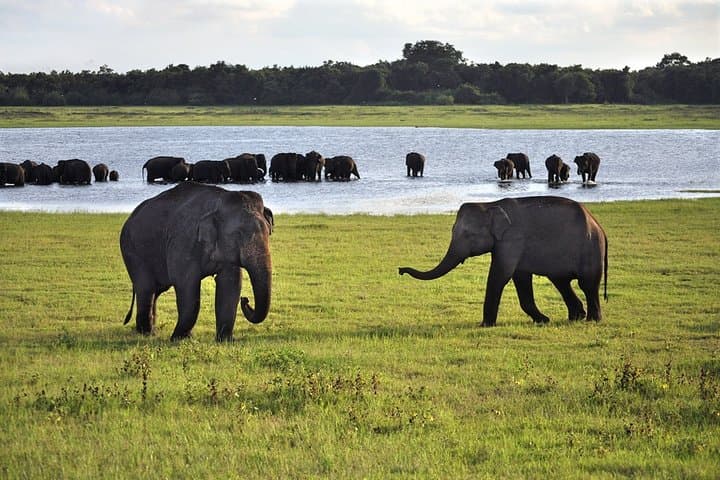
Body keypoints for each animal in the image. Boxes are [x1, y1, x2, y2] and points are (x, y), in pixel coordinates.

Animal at [120, 182, 274, 341]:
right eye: (238, 234)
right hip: (132, 250)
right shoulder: (183, 241)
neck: (219, 201)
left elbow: (230, 284)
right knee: (146, 288)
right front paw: (179, 339)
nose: (245, 300)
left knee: (156, 289)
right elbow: (186, 284)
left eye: (269, 232)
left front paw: (225, 340)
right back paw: (146, 333)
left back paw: (151, 331)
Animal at [399, 196, 608, 326]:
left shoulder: (512, 240)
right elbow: (520, 278)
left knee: (587, 284)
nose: (400, 269)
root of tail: (598, 225)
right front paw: (543, 320)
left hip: (590, 249)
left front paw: (485, 325)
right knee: (561, 281)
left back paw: (592, 320)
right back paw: (576, 317)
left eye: (468, 235)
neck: (489, 205)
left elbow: (500, 275)